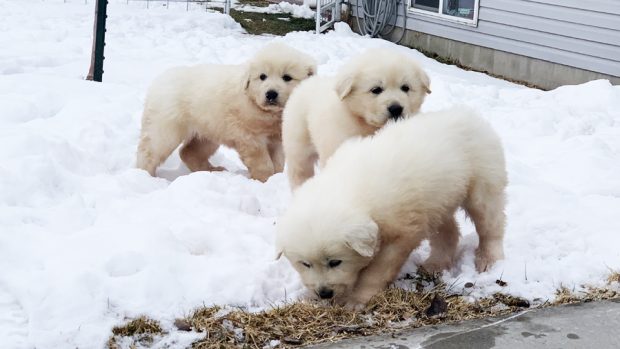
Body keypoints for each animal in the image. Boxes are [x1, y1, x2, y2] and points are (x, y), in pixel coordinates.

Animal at [137, 42, 318, 181]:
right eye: (262, 76)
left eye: (287, 77)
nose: (271, 94)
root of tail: (159, 80)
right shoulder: (250, 137)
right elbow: (263, 162)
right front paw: (264, 180)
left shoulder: (276, 140)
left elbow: (279, 162)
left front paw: (276, 178)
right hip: (165, 129)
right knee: (150, 152)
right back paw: (144, 176)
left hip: (208, 131)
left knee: (188, 152)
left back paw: (212, 170)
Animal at [276, 106, 508, 308]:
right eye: (304, 263)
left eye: (335, 262)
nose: (324, 292)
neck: (352, 187)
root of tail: (472, 116)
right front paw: (310, 297)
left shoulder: (400, 229)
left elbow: (379, 267)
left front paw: (356, 300)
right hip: (438, 197)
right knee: (446, 228)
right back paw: (435, 263)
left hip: (482, 175)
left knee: (489, 219)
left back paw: (488, 260)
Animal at [282, 47, 432, 189]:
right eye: (376, 90)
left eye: (405, 88)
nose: (396, 109)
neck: (365, 124)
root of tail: (305, 83)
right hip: (298, 146)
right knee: (299, 172)